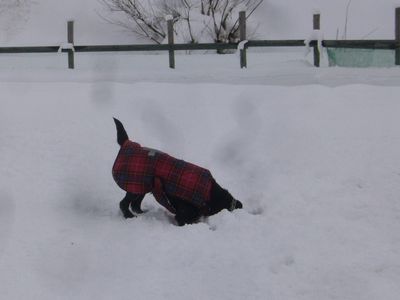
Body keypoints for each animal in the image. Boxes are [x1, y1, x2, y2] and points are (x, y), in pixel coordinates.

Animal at [113, 117, 244, 225]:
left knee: (135, 204)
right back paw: (129, 216)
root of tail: (127, 143)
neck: (210, 193)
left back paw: (142, 213)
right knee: (123, 204)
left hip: (143, 186)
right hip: (136, 187)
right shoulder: (184, 214)